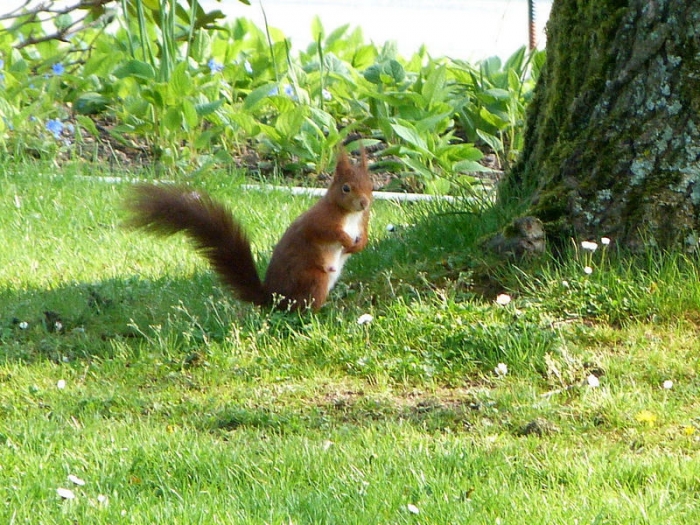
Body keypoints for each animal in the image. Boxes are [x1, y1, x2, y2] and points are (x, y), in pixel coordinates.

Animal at [126, 149, 373, 311]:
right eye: (346, 188)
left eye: (371, 185)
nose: (364, 203)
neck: (349, 215)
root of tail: (272, 299)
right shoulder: (319, 220)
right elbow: (324, 232)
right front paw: (346, 241)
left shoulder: (362, 222)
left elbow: (364, 235)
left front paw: (359, 245)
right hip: (314, 278)